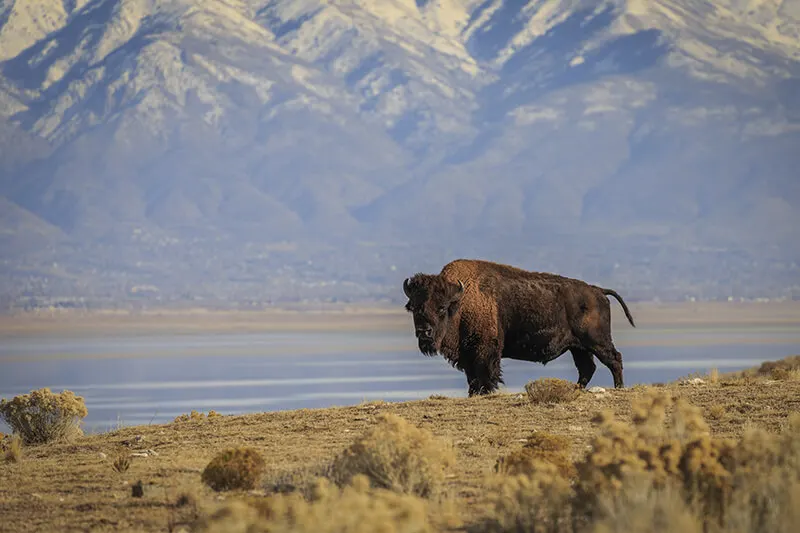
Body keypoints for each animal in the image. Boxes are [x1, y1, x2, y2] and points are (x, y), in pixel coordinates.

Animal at [404, 258, 636, 394]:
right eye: (414, 308)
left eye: (442, 308)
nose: (424, 332)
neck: (461, 302)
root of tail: (598, 291)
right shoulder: (467, 355)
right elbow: (472, 378)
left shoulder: (485, 352)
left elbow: (485, 376)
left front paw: (486, 392)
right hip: (578, 347)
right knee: (587, 367)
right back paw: (576, 389)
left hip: (597, 341)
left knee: (614, 359)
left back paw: (619, 388)